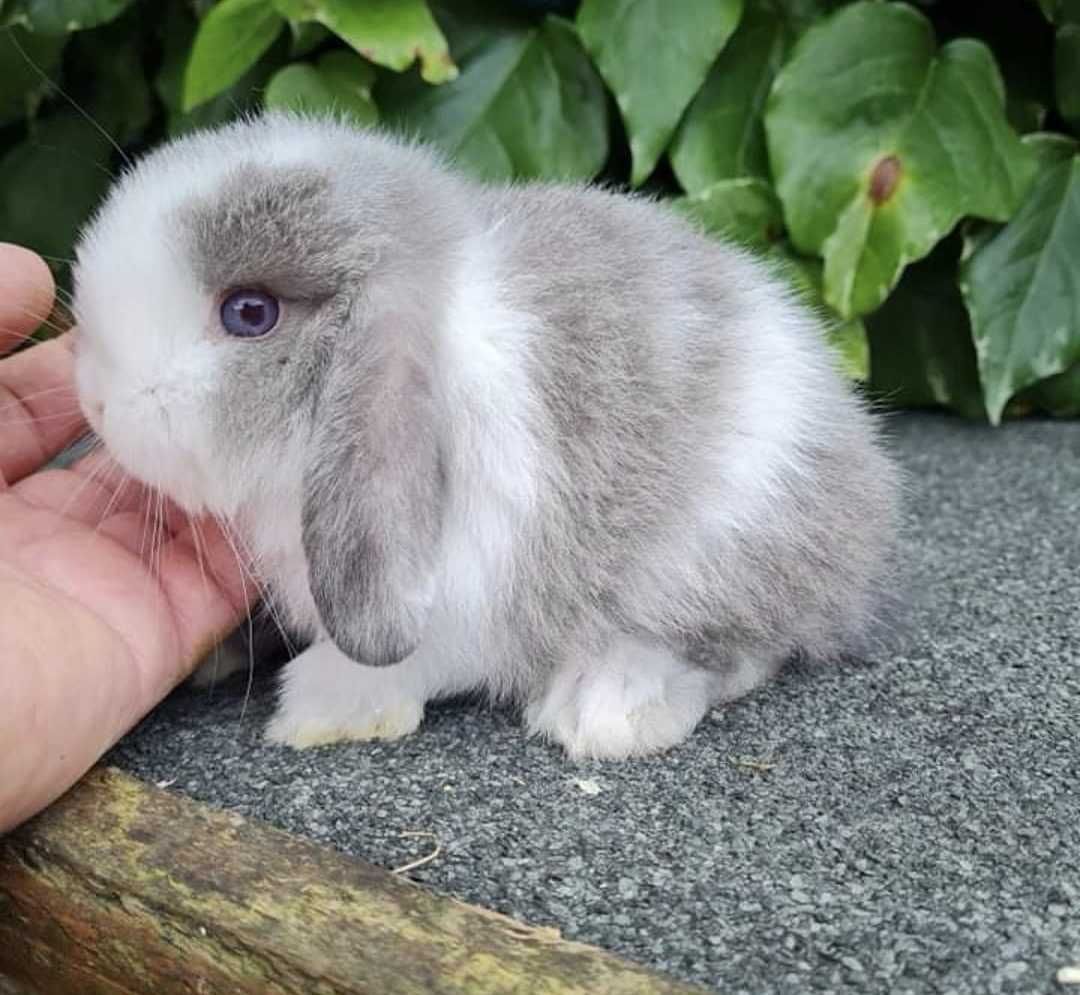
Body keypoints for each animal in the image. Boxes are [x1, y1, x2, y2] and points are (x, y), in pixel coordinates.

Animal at [71, 110, 902, 760]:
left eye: (250, 313)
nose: (98, 401)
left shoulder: (464, 579)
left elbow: (412, 657)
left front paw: (321, 706)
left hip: (717, 553)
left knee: (743, 647)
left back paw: (608, 705)